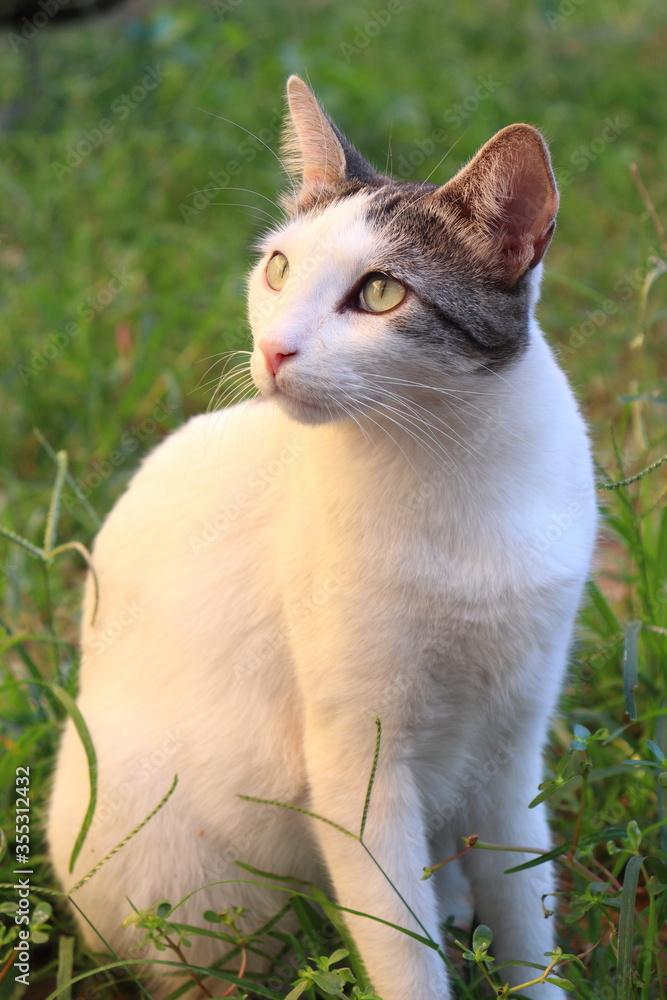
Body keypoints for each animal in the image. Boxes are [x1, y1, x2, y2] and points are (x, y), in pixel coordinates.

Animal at [48, 78, 600, 1000]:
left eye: (380, 294)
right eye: (278, 269)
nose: (273, 350)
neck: (449, 469)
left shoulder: (512, 742)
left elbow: (527, 913)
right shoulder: (355, 769)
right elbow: (402, 951)